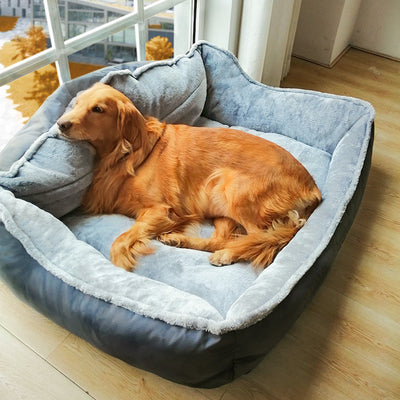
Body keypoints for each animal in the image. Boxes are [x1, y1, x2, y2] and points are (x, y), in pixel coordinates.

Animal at [57, 84, 322, 272]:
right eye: (77, 103)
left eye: (98, 109)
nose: (61, 124)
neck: (127, 153)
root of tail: (314, 189)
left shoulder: (159, 210)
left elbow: (120, 241)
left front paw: (119, 265)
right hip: (219, 203)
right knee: (221, 240)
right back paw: (180, 240)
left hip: (230, 187)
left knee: (257, 236)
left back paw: (226, 254)